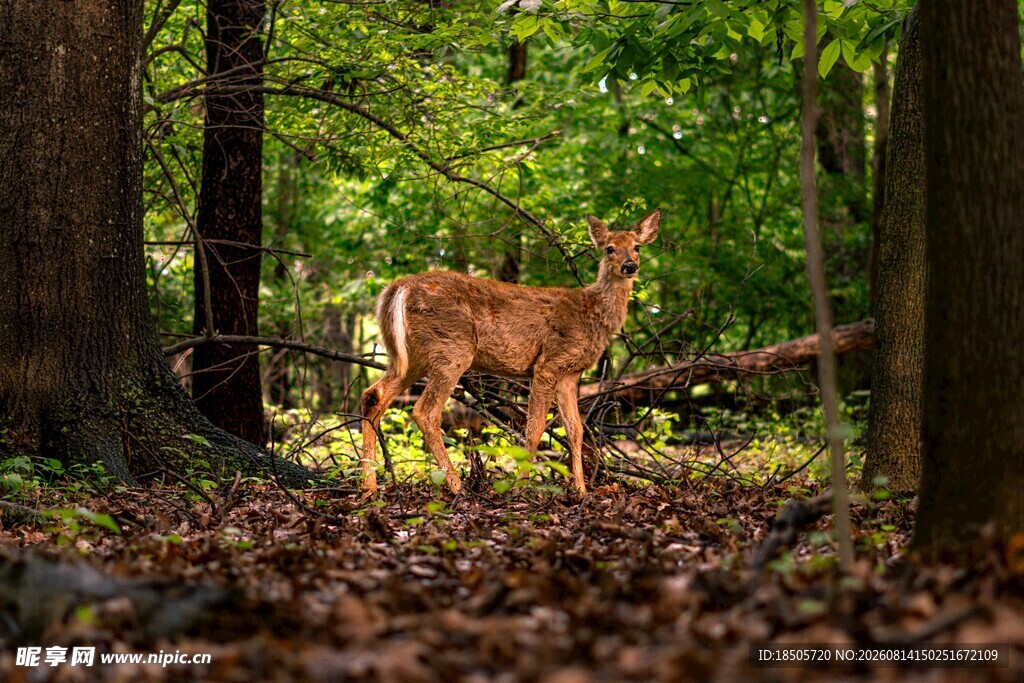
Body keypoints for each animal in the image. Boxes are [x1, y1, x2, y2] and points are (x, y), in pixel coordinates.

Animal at [359, 208, 662, 496]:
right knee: (425, 411)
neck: (592, 314)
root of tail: (400, 286)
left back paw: (369, 486)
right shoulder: (549, 362)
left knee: (373, 395)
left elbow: (575, 430)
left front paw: (581, 490)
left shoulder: (570, 373)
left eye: (637, 246)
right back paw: (457, 486)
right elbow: (535, 428)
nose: (630, 265)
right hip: (453, 347)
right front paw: (521, 485)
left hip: (415, 355)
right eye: (609, 248)